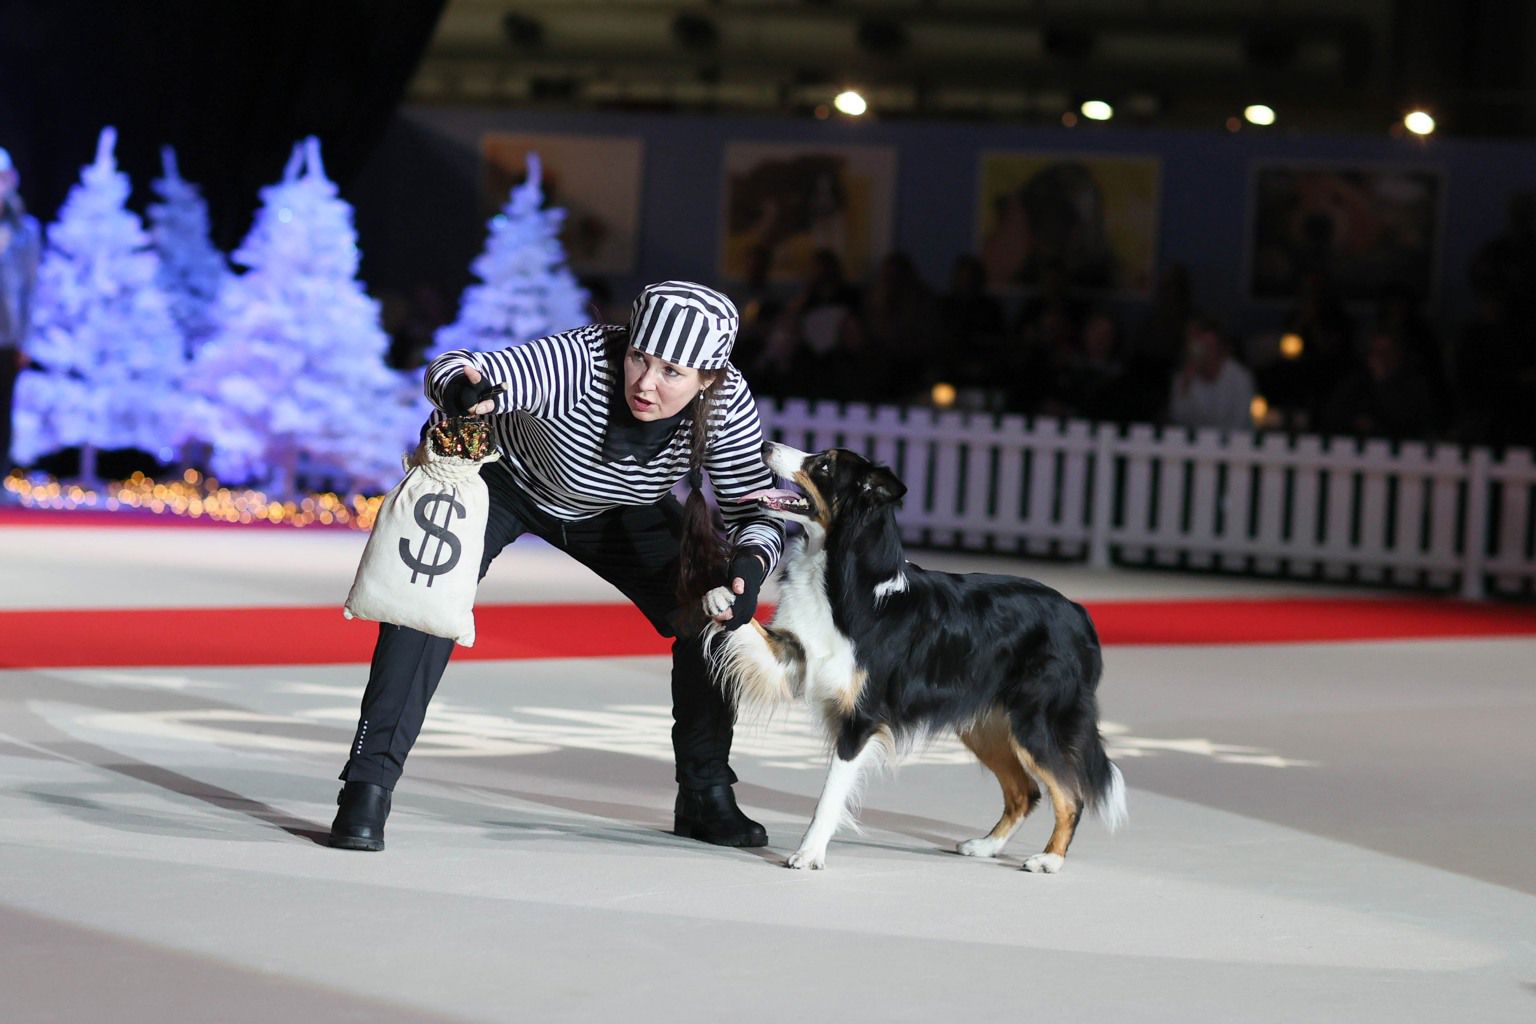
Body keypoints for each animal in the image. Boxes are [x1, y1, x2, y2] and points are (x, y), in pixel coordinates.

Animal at [706, 442, 1130, 872]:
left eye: (823, 465)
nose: (765, 445)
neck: (838, 574)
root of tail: (1078, 613)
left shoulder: (861, 719)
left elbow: (829, 795)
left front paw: (809, 854)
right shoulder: (792, 654)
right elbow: (749, 625)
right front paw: (721, 595)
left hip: (1035, 723)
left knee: (1070, 794)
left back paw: (1049, 860)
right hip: (986, 724)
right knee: (1026, 791)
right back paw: (985, 846)